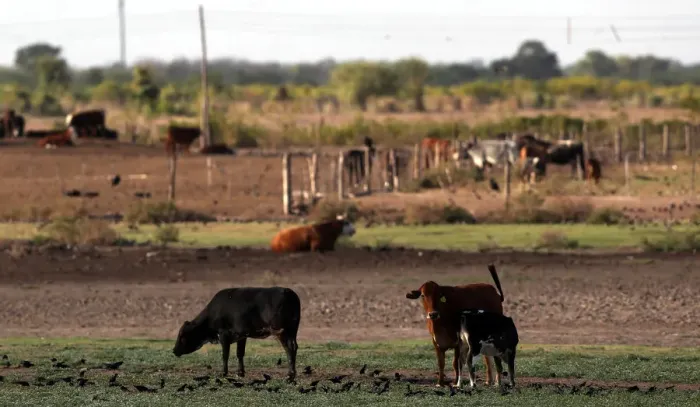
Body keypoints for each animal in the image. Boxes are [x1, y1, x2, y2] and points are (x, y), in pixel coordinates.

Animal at [173, 286, 301, 381]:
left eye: (182, 336)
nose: (174, 350)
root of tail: (288, 292)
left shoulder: (223, 334)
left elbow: (225, 355)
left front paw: (224, 373)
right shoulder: (242, 335)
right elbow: (240, 353)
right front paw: (240, 373)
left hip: (281, 331)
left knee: (289, 348)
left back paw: (290, 375)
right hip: (292, 331)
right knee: (294, 347)